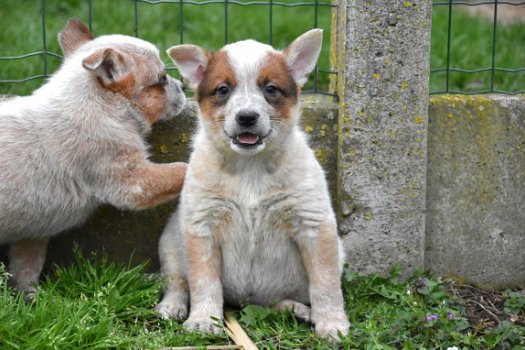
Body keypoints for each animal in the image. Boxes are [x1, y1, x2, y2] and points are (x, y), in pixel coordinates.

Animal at [0, 17, 188, 294]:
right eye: (162, 79)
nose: (184, 86)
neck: (103, 106)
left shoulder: (33, 233)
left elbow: (26, 269)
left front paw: (29, 297)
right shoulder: (132, 183)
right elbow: (181, 169)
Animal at [158, 28, 350, 340]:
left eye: (270, 88)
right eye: (223, 90)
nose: (246, 117)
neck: (250, 168)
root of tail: (245, 301)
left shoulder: (313, 225)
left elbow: (325, 282)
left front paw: (332, 323)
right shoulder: (202, 227)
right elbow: (203, 281)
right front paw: (203, 320)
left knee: (279, 301)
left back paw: (298, 309)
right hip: (171, 243)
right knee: (177, 281)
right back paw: (171, 306)